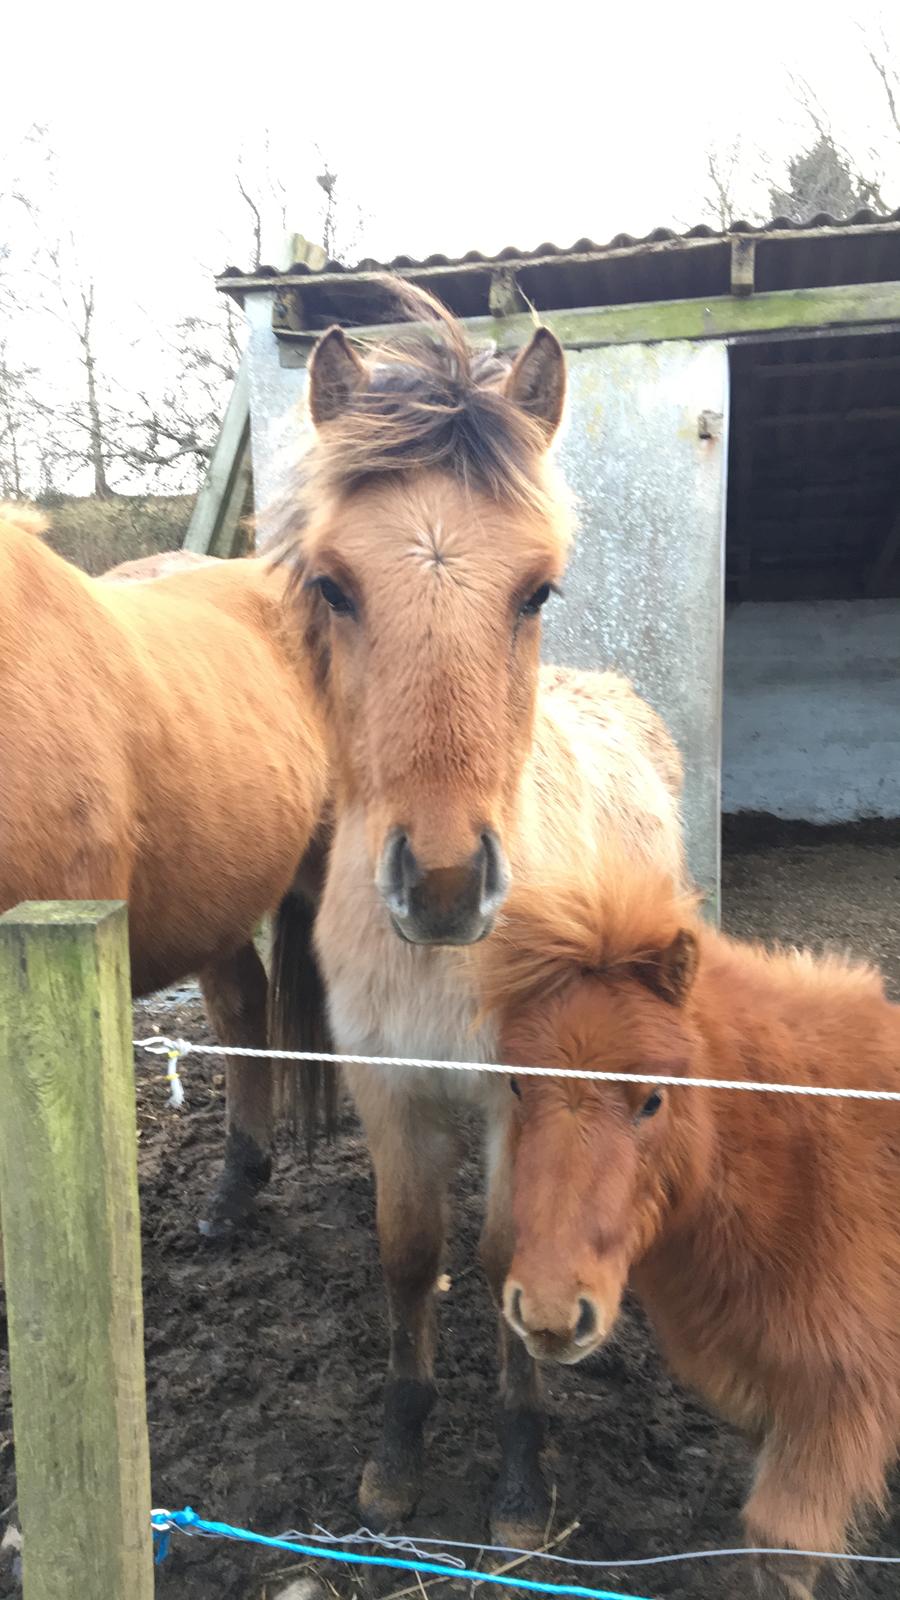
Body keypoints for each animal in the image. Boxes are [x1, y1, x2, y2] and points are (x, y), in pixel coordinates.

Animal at [269, 294, 682, 1542]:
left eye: (537, 588)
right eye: (335, 585)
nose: (446, 883)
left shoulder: (524, 1096)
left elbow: (511, 1252)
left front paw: (517, 1484)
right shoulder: (391, 1090)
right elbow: (409, 1256)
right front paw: (396, 1461)